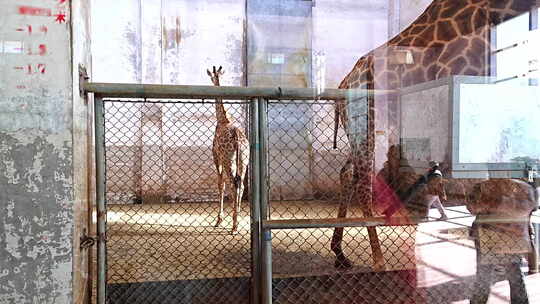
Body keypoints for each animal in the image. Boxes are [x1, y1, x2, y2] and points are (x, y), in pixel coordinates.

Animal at [206, 66, 250, 233]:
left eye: (212, 77)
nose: (213, 82)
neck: (223, 119)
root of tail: (237, 138)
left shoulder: (216, 156)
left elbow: (220, 184)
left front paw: (219, 220)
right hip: (244, 161)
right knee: (241, 184)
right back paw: (237, 217)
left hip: (228, 160)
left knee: (232, 184)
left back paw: (234, 226)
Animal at [332, 0, 532, 266]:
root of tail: (343, 86)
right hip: (368, 125)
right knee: (364, 182)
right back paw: (378, 259)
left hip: (359, 131)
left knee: (348, 174)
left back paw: (340, 254)